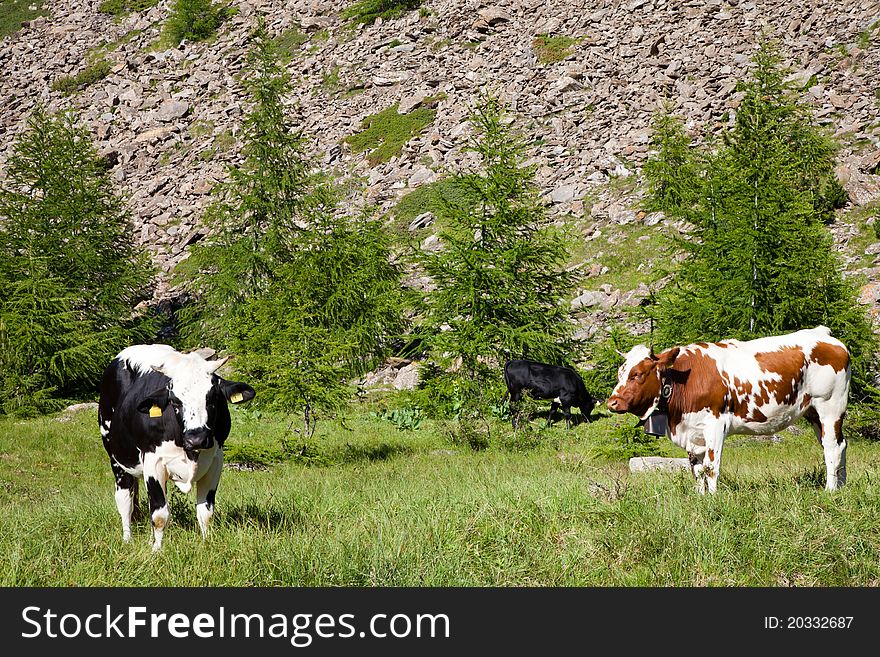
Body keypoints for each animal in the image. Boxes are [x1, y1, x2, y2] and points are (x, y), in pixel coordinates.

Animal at [102, 344, 258, 548]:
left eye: (213, 398)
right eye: (175, 401)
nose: (196, 438)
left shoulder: (216, 461)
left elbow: (205, 512)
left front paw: (206, 544)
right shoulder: (153, 462)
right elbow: (159, 515)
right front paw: (157, 550)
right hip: (115, 457)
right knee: (125, 499)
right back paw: (127, 539)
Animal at [608, 326, 848, 490]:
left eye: (637, 374)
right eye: (620, 373)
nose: (612, 402)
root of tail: (823, 334)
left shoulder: (715, 424)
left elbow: (711, 468)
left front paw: (713, 500)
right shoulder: (693, 432)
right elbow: (697, 470)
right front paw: (700, 498)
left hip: (830, 406)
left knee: (831, 447)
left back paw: (829, 490)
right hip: (813, 412)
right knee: (839, 444)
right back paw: (841, 487)